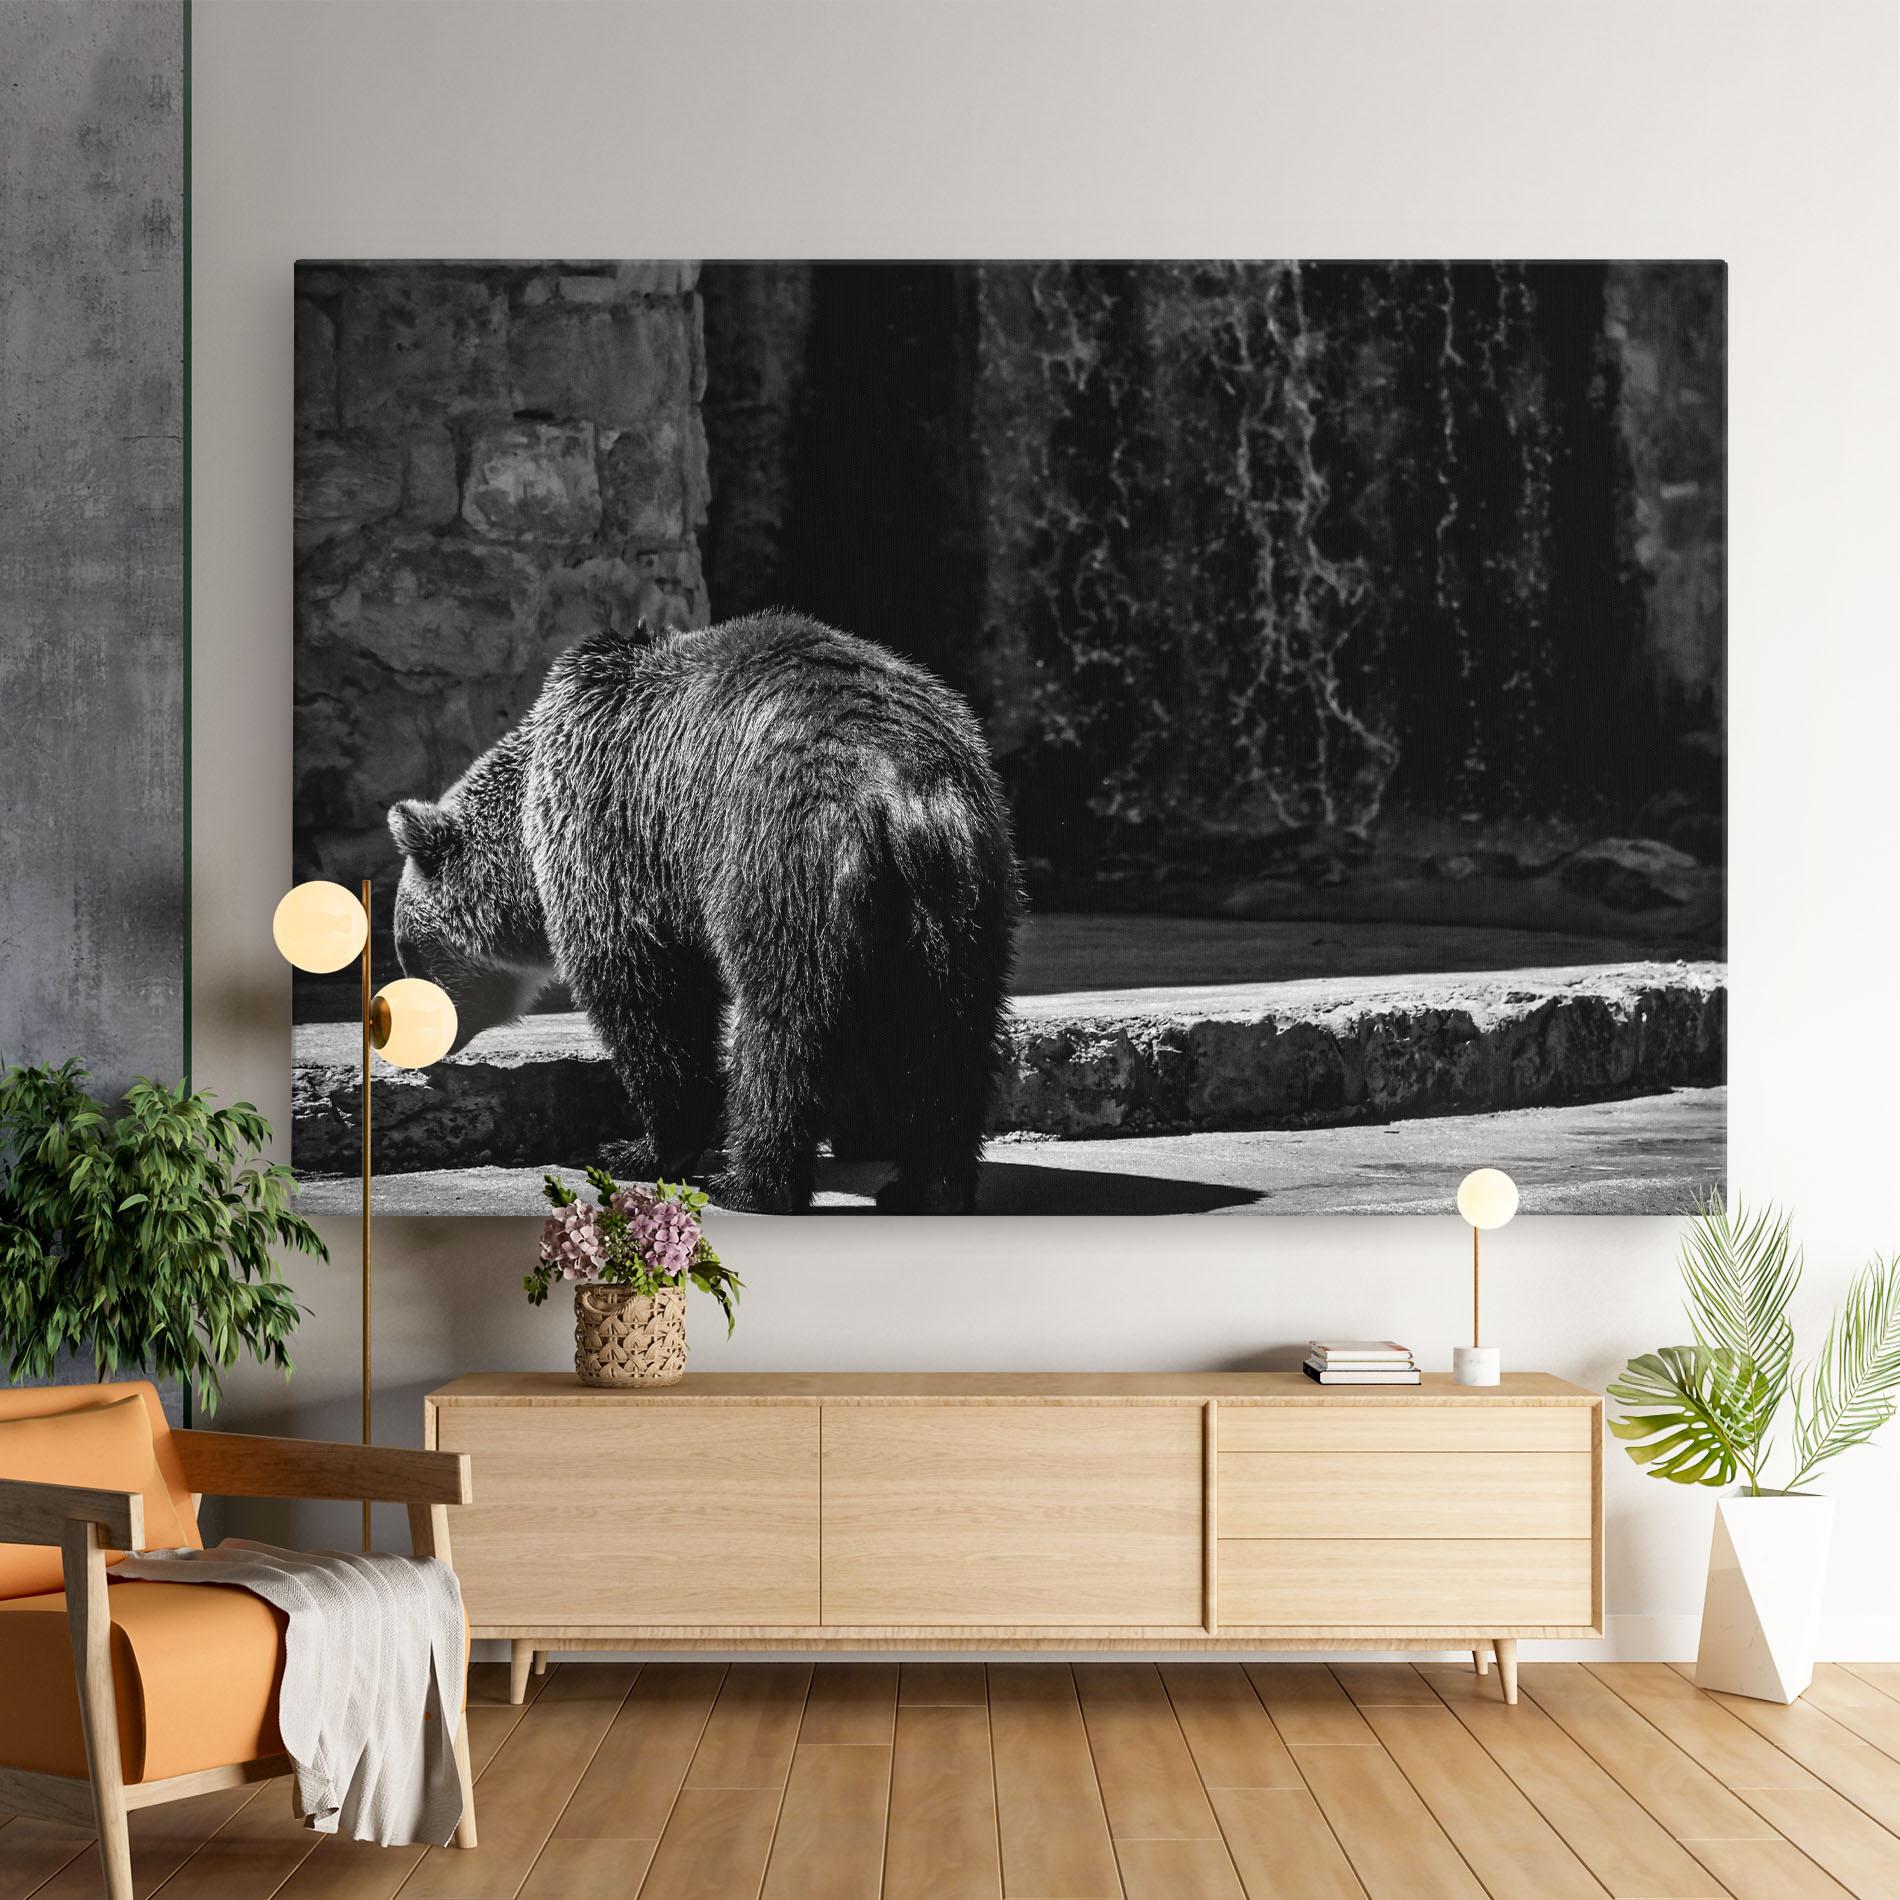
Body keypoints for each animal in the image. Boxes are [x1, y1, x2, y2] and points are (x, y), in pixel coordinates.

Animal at [386, 609, 1019, 1214]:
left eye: (408, 951)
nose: (407, 1036)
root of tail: (902, 793)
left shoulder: (618, 828)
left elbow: (649, 996)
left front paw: (636, 1148)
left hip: (781, 861)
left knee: (785, 1031)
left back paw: (749, 1184)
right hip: (963, 898)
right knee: (949, 1036)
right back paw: (927, 1187)